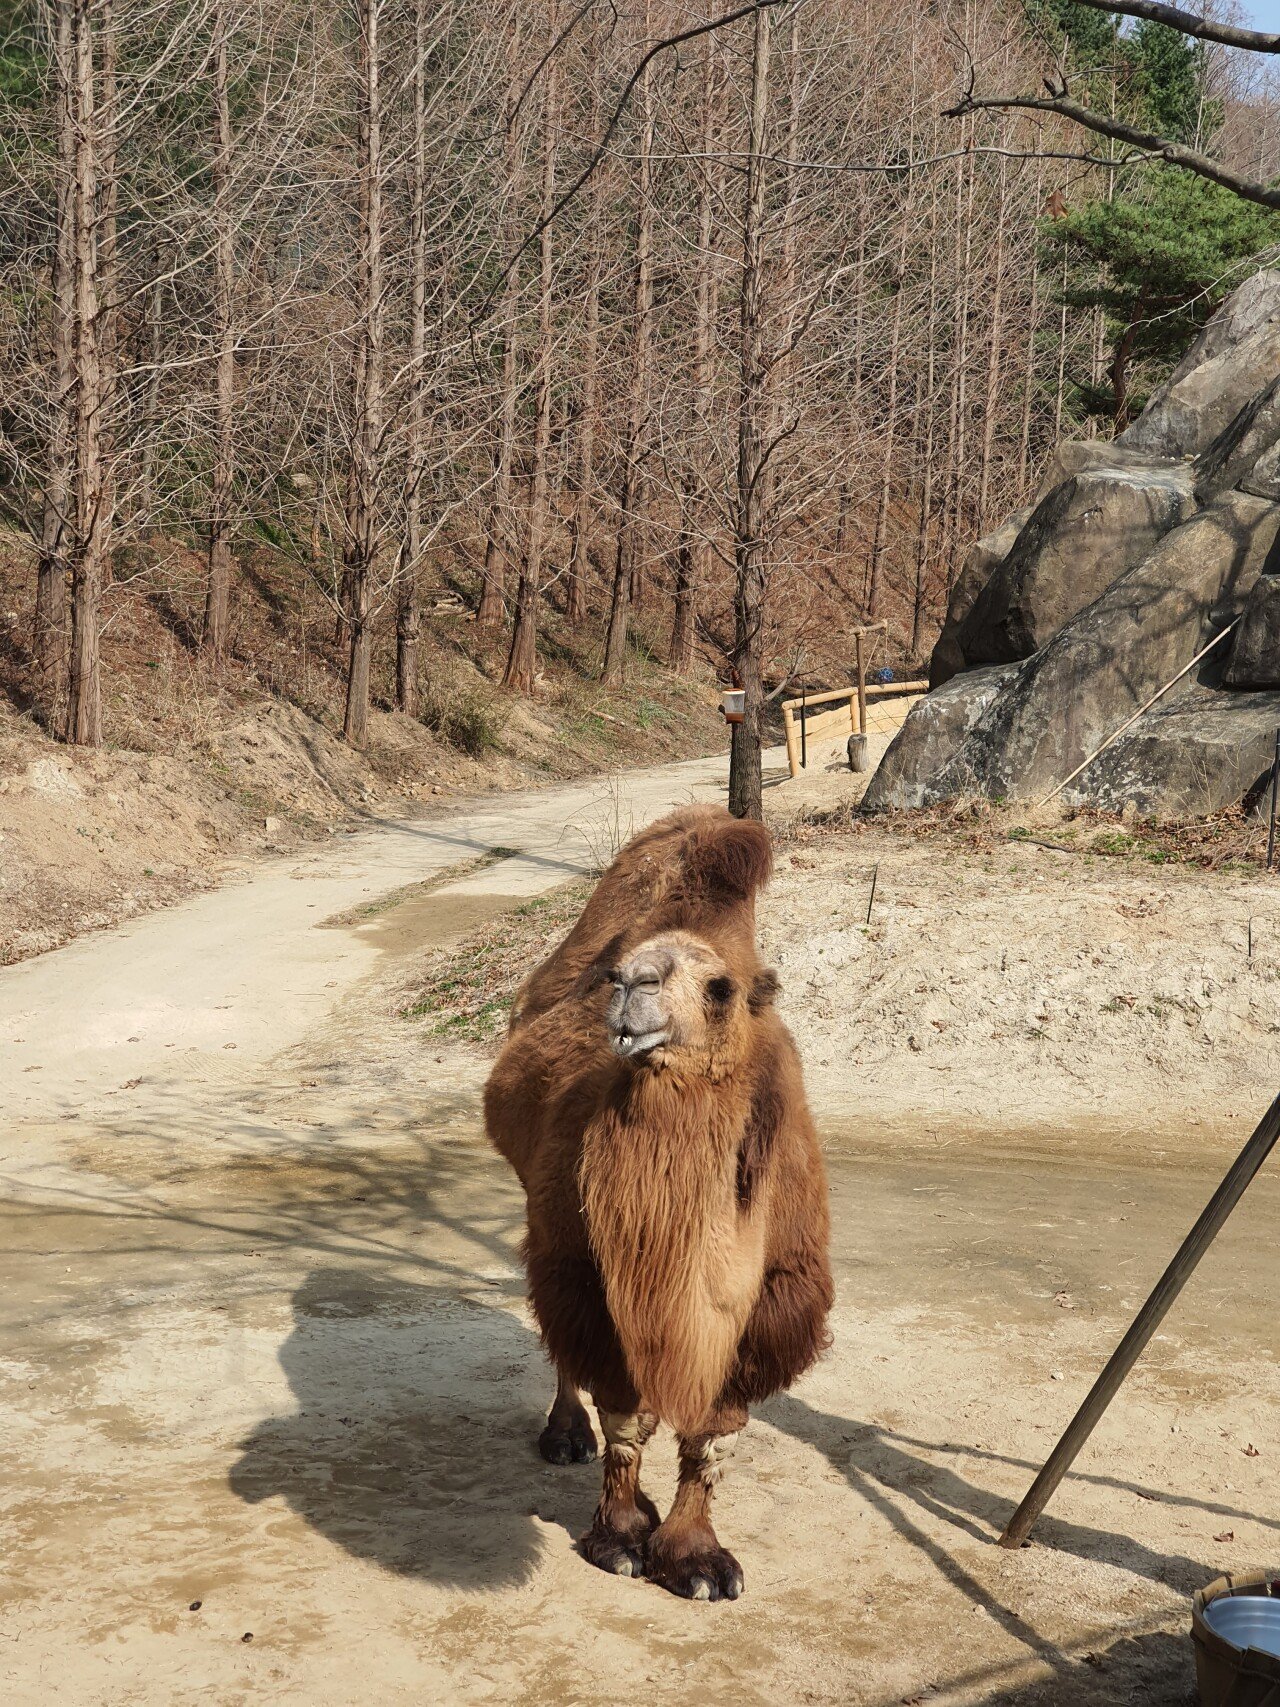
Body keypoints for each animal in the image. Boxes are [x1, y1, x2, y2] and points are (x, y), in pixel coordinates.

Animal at [484, 809, 836, 1597]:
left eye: (720, 988)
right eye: (619, 971)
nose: (628, 985)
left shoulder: (772, 1299)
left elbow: (710, 1433)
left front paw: (695, 1556)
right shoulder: (588, 1272)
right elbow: (623, 1415)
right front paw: (620, 1536)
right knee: (559, 1340)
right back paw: (564, 1436)